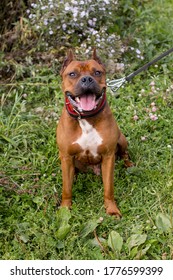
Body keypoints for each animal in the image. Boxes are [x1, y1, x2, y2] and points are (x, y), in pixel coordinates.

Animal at [56, 49, 132, 218]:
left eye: (97, 72)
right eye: (72, 74)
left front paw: (111, 209)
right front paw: (64, 209)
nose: (87, 79)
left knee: (124, 153)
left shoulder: (108, 157)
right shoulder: (66, 156)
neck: (86, 118)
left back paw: (129, 165)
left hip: (122, 139)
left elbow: (109, 188)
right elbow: (66, 188)